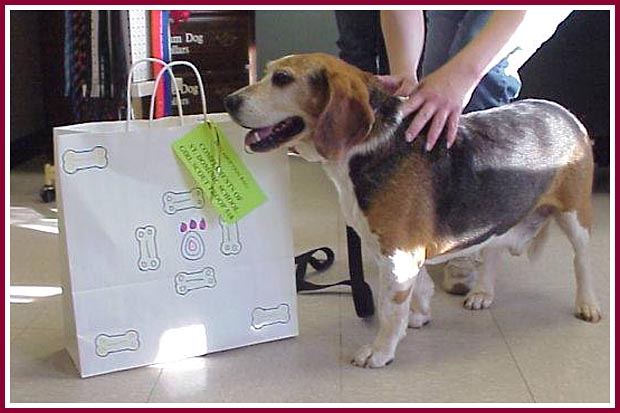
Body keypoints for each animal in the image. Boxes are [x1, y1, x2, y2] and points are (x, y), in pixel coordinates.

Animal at [224, 52, 600, 366]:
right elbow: (416, 289)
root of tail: (566, 114)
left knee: (582, 261)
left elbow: (390, 309)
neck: (371, 144)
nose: (228, 101)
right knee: (493, 252)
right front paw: (418, 316)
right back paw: (482, 293)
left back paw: (588, 304)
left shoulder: (397, 254)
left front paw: (380, 351)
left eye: (282, 78)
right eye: (268, 72)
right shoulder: (397, 252)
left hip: (576, 215)